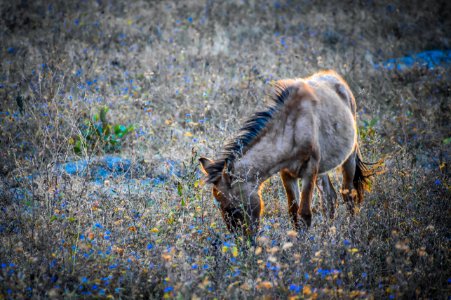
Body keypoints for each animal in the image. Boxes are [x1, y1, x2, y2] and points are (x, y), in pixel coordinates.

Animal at [200, 70, 380, 237]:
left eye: (232, 207)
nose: (244, 242)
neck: (292, 127)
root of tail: (336, 78)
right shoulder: (287, 173)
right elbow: (293, 213)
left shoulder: (309, 171)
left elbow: (305, 214)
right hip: (323, 169)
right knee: (329, 199)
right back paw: (327, 235)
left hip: (349, 158)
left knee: (348, 195)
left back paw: (349, 231)